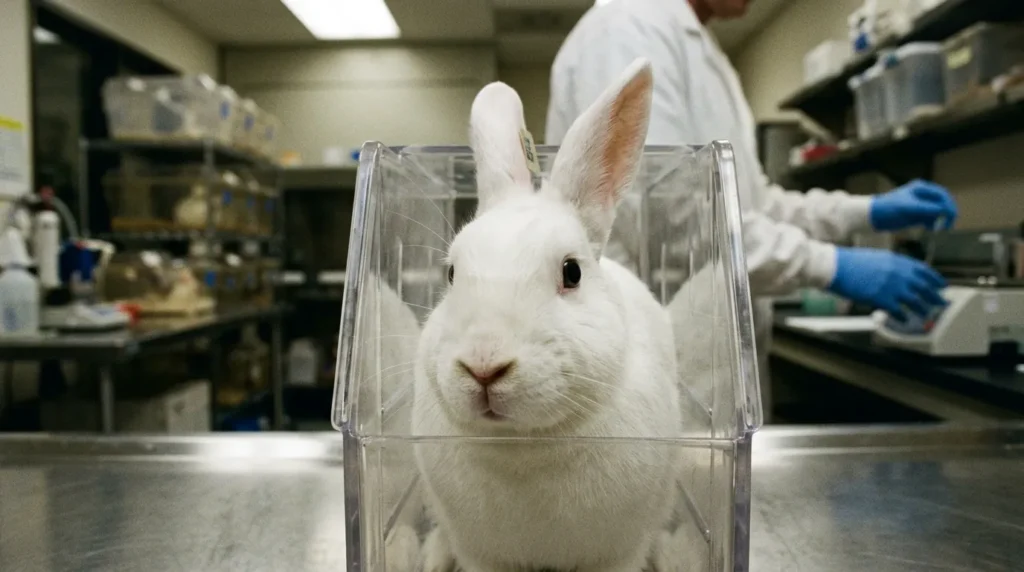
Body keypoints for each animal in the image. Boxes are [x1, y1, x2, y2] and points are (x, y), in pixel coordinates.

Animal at [411, 58, 684, 572]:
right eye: (452, 273)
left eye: (571, 272)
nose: (483, 366)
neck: (523, 443)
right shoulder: (480, 553)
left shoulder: (618, 551)